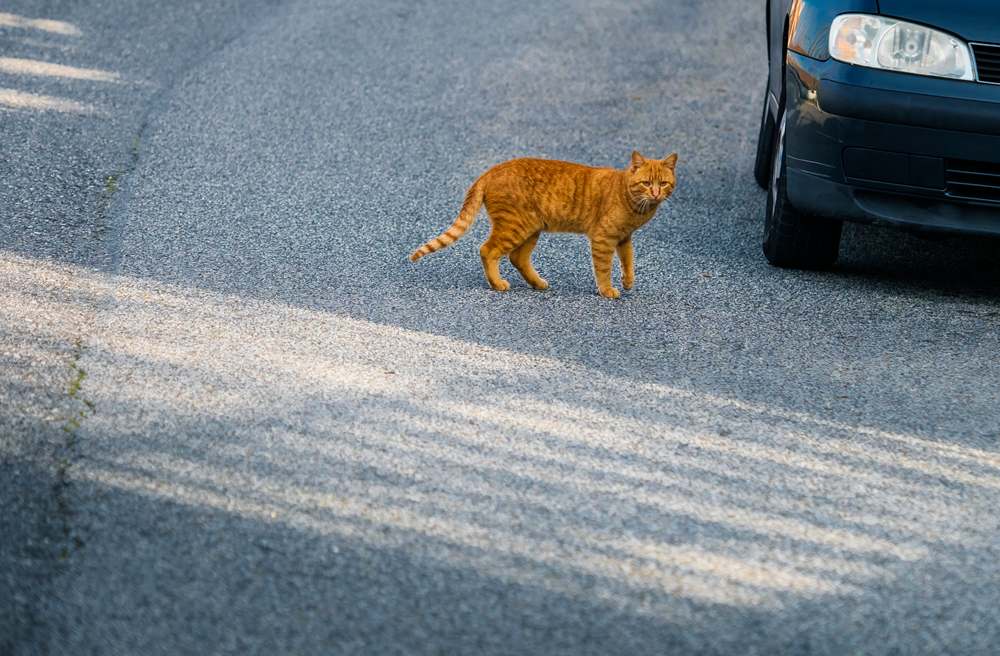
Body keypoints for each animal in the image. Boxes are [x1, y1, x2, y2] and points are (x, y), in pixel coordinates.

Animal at [408, 151, 680, 298]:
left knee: (517, 258)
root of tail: (492, 169)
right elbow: (604, 268)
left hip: (531, 229)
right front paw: (607, 290)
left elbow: (628, 260)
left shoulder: (624, 238)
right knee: (487, 250)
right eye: (646, 183)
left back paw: (537, 283)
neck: (635, 205)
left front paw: (628, 281)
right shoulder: (604, 238)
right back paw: (498, 284)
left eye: (663, 183)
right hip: (515, 226)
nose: (656, 193)